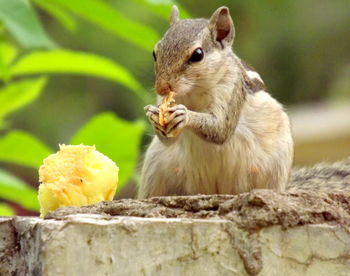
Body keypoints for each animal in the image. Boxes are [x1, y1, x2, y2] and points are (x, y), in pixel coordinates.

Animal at [137, 5, 292, 197]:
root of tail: (214, 191)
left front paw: (185, 115)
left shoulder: (232, 90)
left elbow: (221, 129)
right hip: (156, 166)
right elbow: (168, 140)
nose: (161, 88)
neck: (194, 90)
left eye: (198, 55)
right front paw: (154, 116)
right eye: (154, 53)